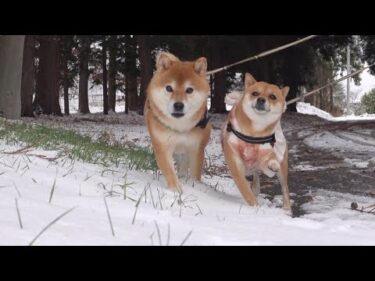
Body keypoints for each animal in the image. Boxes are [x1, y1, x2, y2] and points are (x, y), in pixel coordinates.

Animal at [145, 52, 213, 192]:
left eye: (189, 90)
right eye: (169, 88)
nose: (178, 105)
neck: (180, 127)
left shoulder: (196, 149)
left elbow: (195, 173)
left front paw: (194, 185)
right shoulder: (162, 146)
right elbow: (169, 170)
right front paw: (176, 189)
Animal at [222, 73, 292, 209]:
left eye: (272, 96)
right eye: (255, 93)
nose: (261, 99)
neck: (254, 132)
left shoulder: (267, 151)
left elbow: (270, 159)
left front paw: (272, 163)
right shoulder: (235, 163)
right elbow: (245, 190)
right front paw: (255, 207)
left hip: (282, 166)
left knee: (285, 188)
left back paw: (287, 209)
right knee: (255, 175)